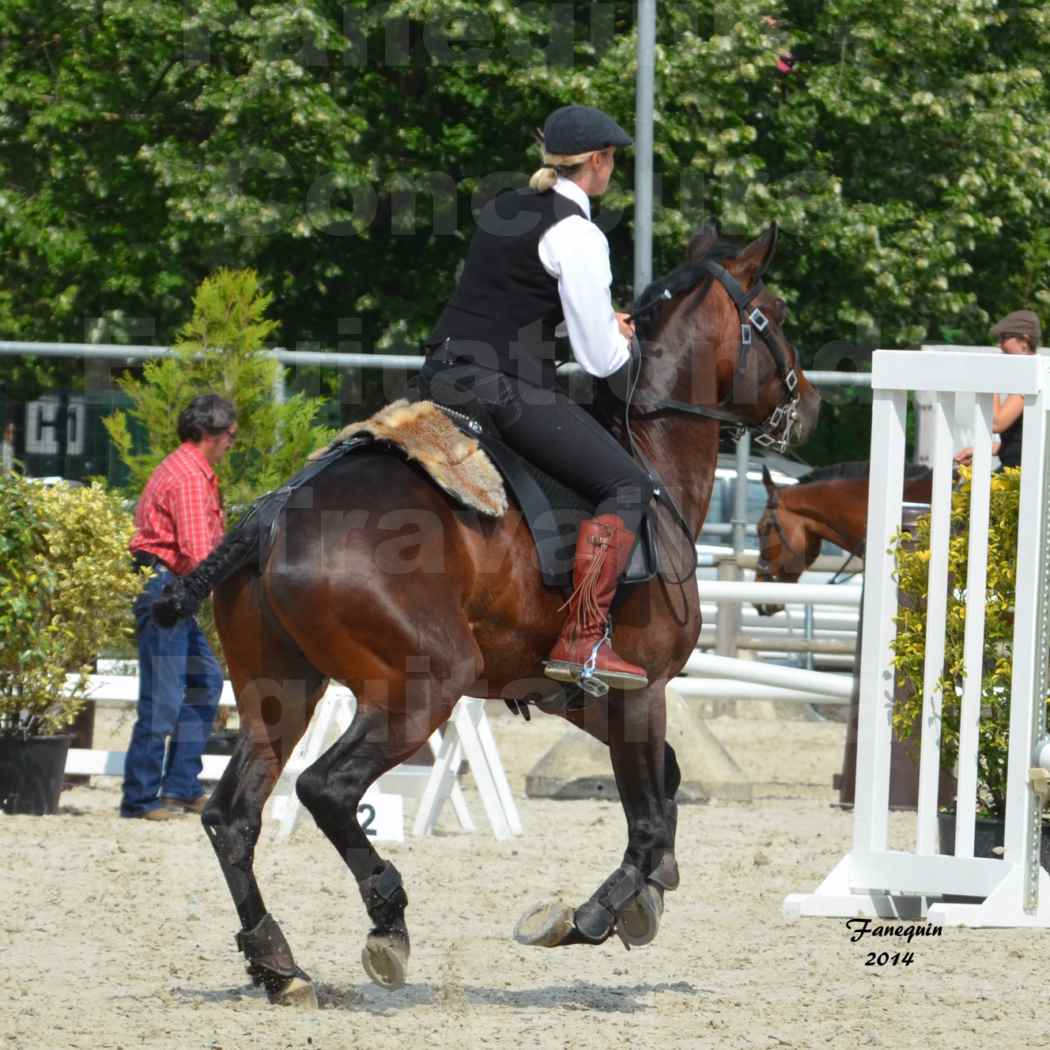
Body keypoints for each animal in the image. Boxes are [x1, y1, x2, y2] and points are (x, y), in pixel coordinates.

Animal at [153, 217, 818, 1003]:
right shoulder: (640, 691)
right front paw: (593, 915)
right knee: (325, 789)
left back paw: (276, 961)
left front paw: (647, 895)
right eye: (774, 314)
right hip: (422, 688)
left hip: (279, 695)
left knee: (233, 816)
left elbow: (669, 781)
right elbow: (650, 815)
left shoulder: (578, 694)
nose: (809, 406)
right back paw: (387, 921)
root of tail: (273, 514)